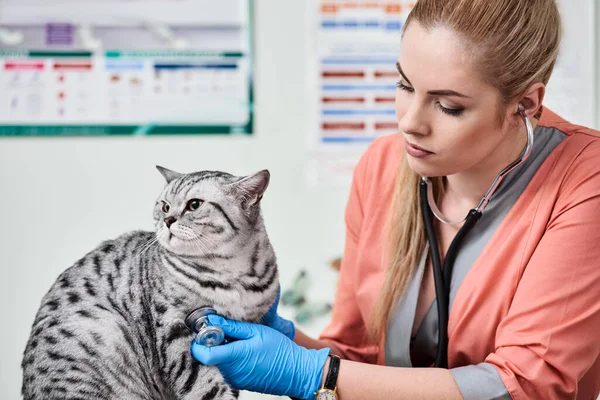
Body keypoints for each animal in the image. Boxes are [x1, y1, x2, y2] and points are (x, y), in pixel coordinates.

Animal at [20, 166, 278, 400]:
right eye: (164, 206)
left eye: (194, 204)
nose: (168, 220)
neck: (231, 271)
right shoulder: (172, 327)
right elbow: (203, 384)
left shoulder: (243, 327)